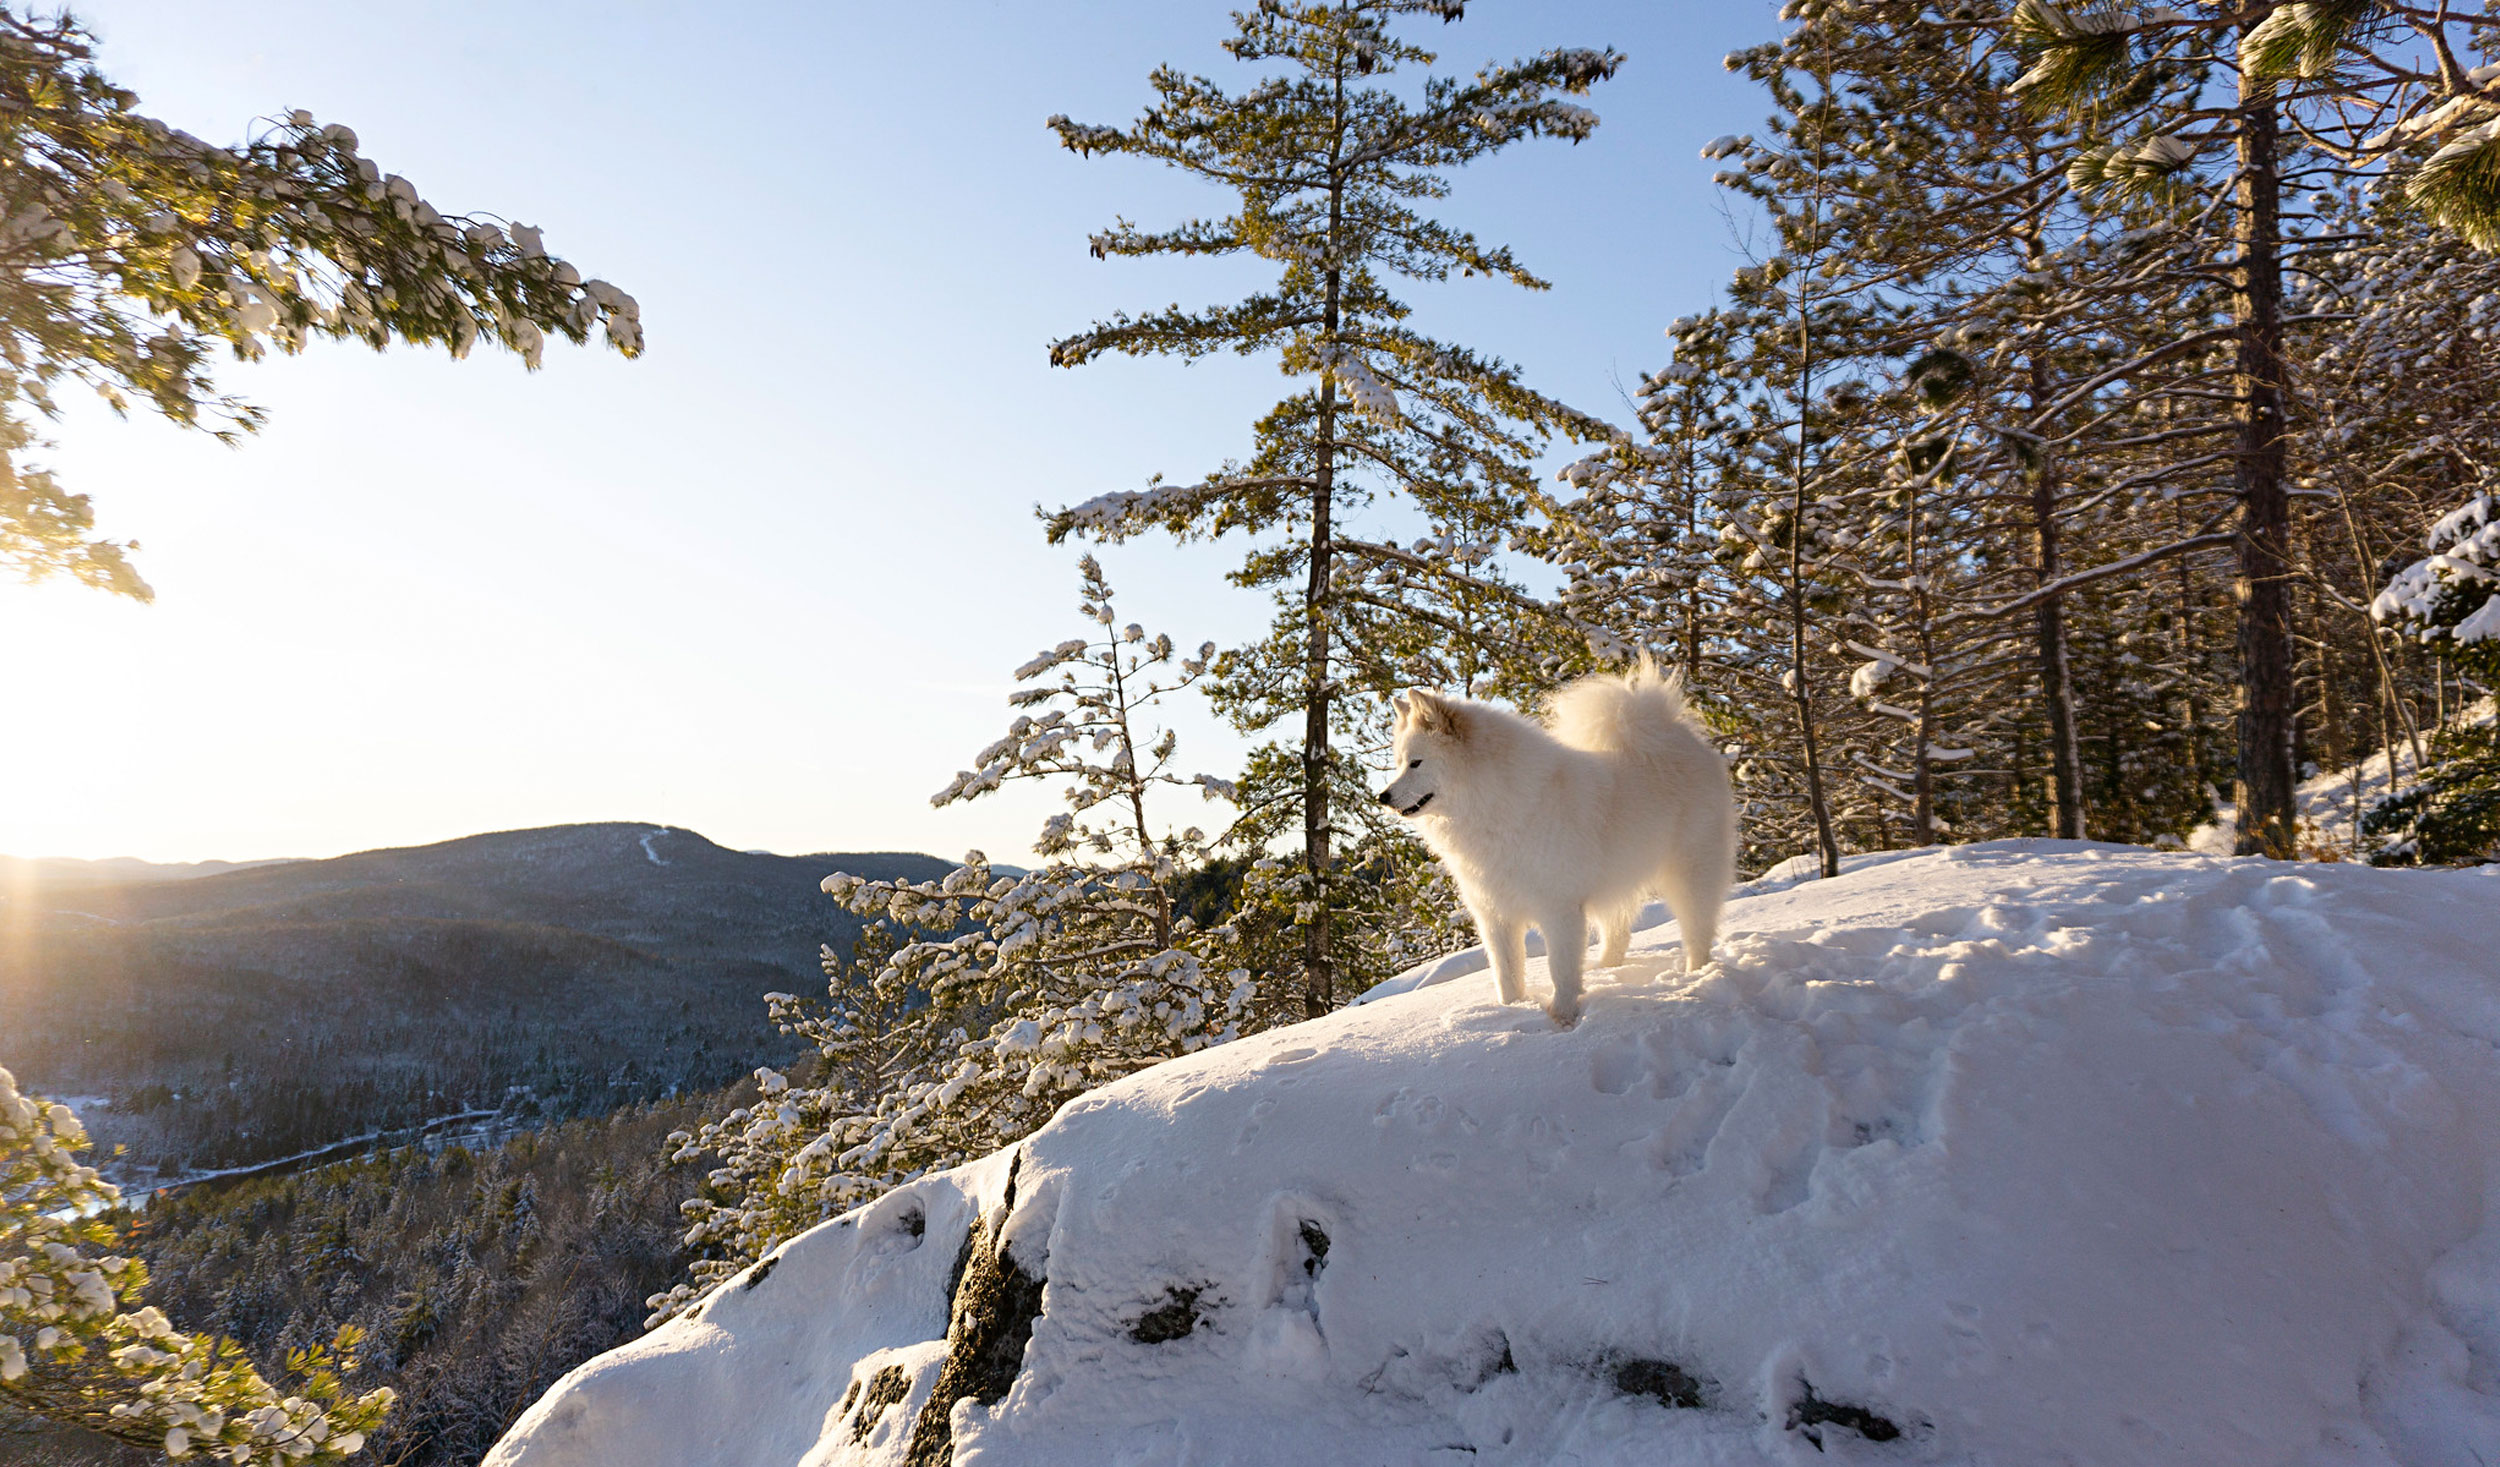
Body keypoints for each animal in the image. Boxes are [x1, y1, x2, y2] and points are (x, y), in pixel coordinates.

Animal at [1380, 659, 1730, 1029]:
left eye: (1416, 762)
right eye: (1399, 763)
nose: (1382, 797)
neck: (1493, 803)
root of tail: (1678, 735)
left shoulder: (1559, 909)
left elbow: (1560, 969)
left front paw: (1562, 1019)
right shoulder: (1496, 914)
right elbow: (1507, 974)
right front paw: (1512, 1012)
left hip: (1690, 873)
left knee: (1698, 930)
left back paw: (1696, 976)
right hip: (1617, 884)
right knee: (1619, 934)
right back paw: (1606, 971)